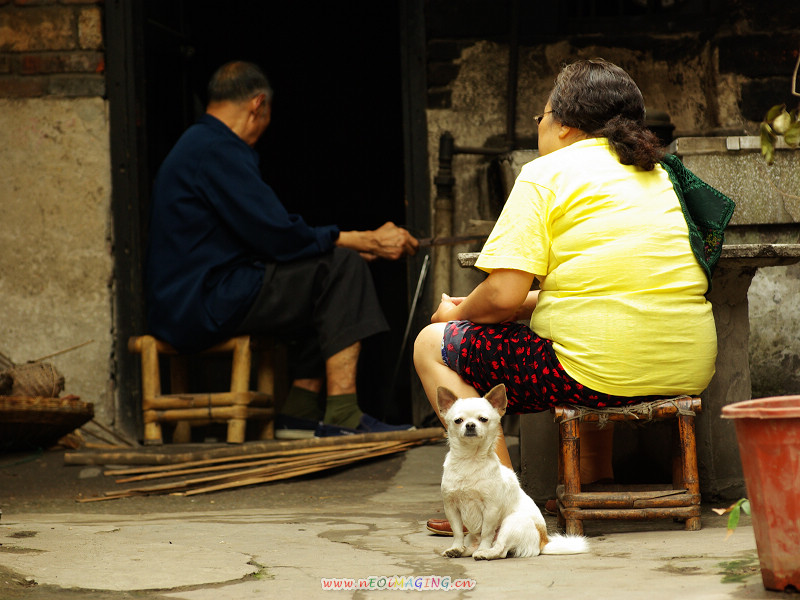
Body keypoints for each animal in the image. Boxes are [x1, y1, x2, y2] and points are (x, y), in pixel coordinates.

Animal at [438, 386, 588, 560]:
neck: (469, 460)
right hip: (477, 533)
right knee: (474, 542)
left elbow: (487, 533)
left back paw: (485, 552)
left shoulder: (491, 509)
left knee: (500, 549)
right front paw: (455, 547)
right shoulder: (451, 508)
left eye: (483, 419)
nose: (470, 425)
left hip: (510, 523)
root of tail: (542, 541)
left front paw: (483, 549)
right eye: (458, 421)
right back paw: (463, 550)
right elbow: (457, 532)